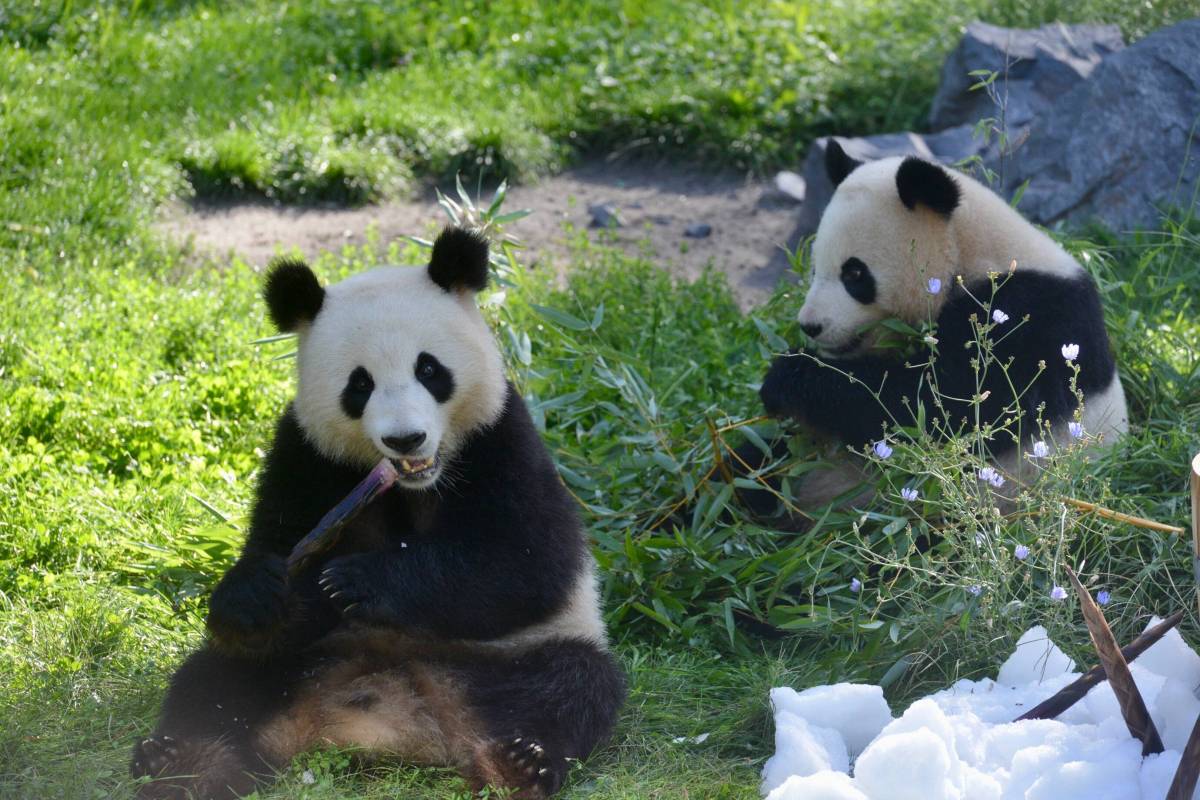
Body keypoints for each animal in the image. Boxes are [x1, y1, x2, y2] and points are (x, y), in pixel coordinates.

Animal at [129, 225, 628, 800]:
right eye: (359, 384)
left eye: (429, 369)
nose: (405, 438)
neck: (410, 484)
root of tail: (389, 724)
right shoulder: (306, 452)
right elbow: (276, 545)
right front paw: (258, 594)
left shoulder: (501, 436)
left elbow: (530, 561)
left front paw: (358, 581)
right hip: (297, 663)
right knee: (214, 681)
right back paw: (184, 764)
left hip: (511, 658)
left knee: (574, 683)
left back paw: (518, 764)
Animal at [744, 143, 1128, 515]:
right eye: (813, 269)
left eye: (854, 274)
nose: (810, 326)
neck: (972, 250)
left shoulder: (1031, 318)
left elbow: (941, 408)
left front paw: (786, 376)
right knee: (762, 456)